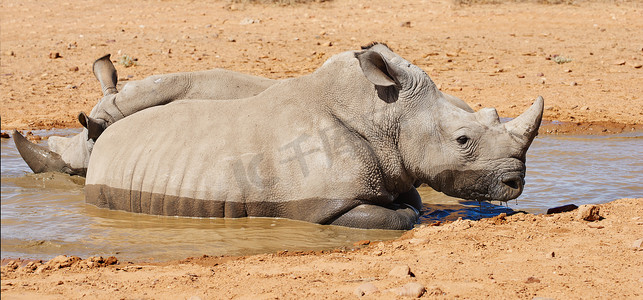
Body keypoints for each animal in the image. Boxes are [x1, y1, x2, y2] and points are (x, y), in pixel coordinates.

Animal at [82, 42, 544, 230]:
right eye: (463, 140)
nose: (515, 183)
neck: (385, 115)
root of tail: (107, 138)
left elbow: (411, 202)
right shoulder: (324, 204)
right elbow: (400, 216)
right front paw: (406, 213)